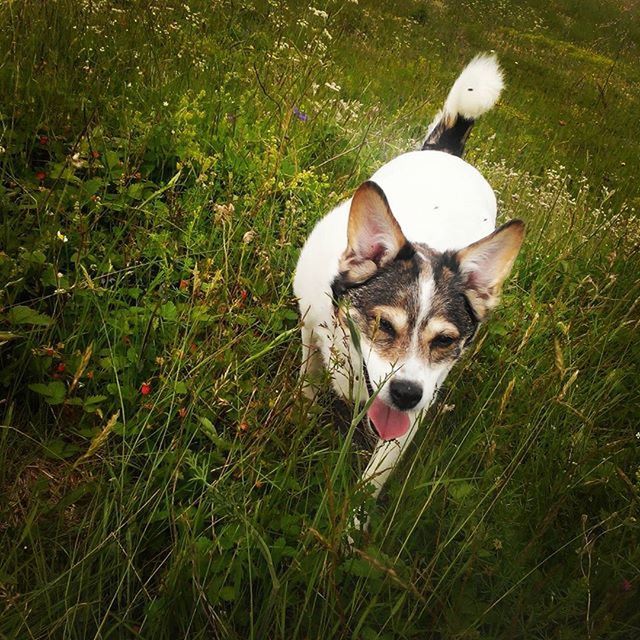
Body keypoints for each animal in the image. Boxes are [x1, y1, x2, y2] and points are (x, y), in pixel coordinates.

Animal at [296, 55, 524, 524]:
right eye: (384, 325)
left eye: (445, 340)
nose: (406, 394)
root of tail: (448, 151)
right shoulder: (310, 324)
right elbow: (308, 376)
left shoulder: (411, 418)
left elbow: (372, 479)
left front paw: (349, 528)